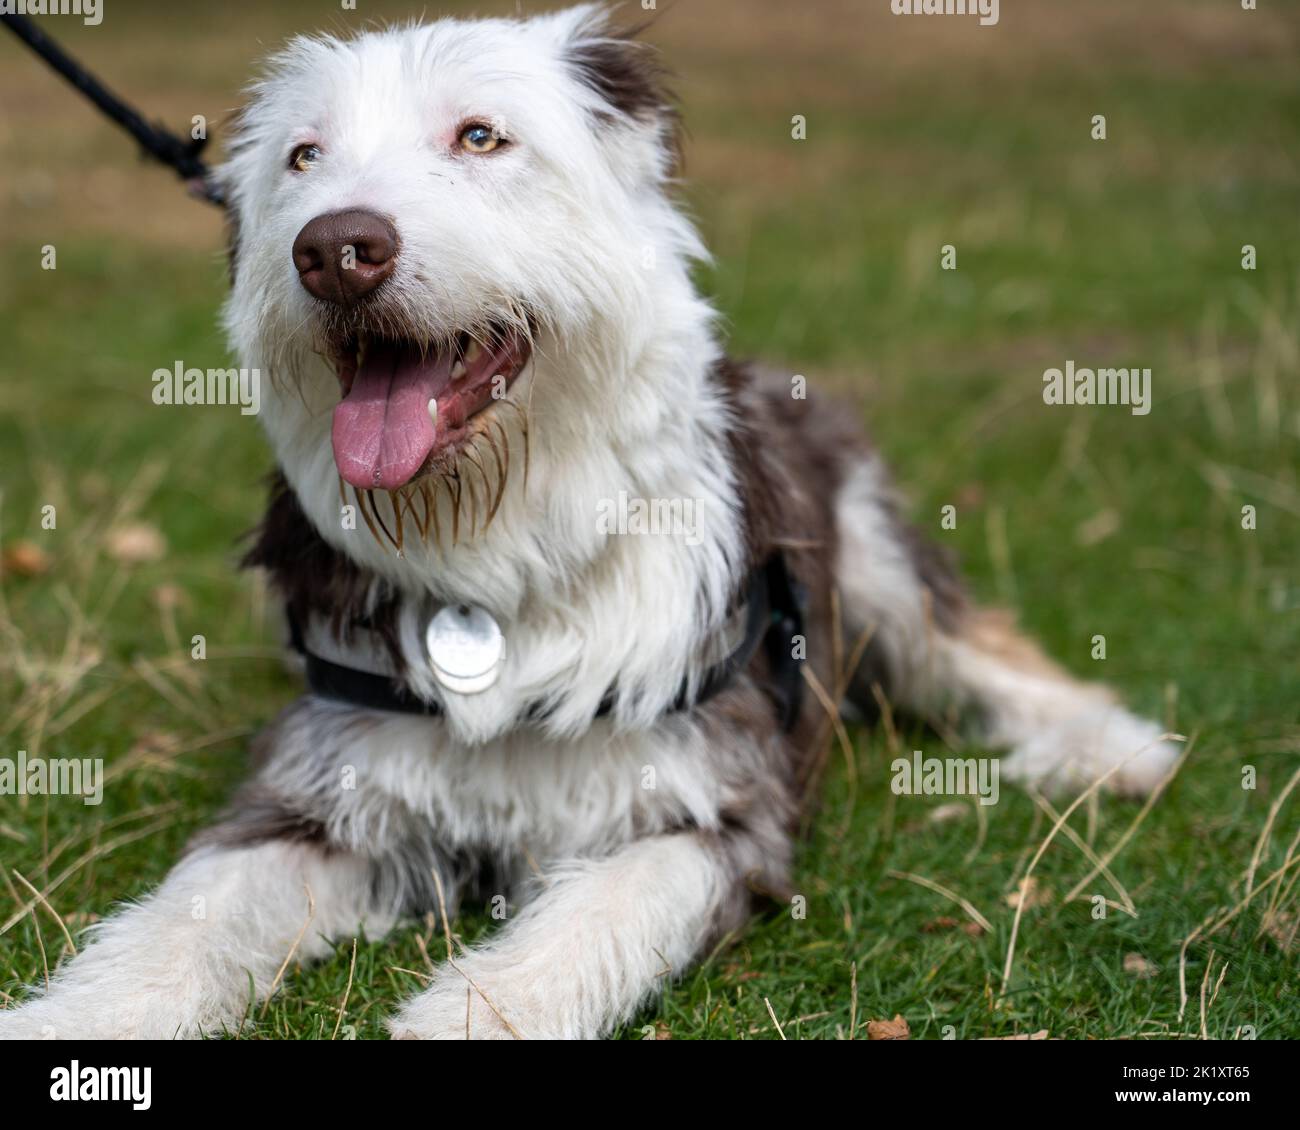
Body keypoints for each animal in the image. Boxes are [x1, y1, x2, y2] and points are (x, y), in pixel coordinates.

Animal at [0, 2, 1180, 1040]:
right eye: (302, 158)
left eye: (480, 135)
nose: (335, 249)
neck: (498, 549)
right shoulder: (316, 790)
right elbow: (184, 916)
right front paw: (76, 1014)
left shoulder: (707, 808)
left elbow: (587, 922)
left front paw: (464, 1017)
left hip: (873, 554)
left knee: (971, 646)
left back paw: (1114, 747)